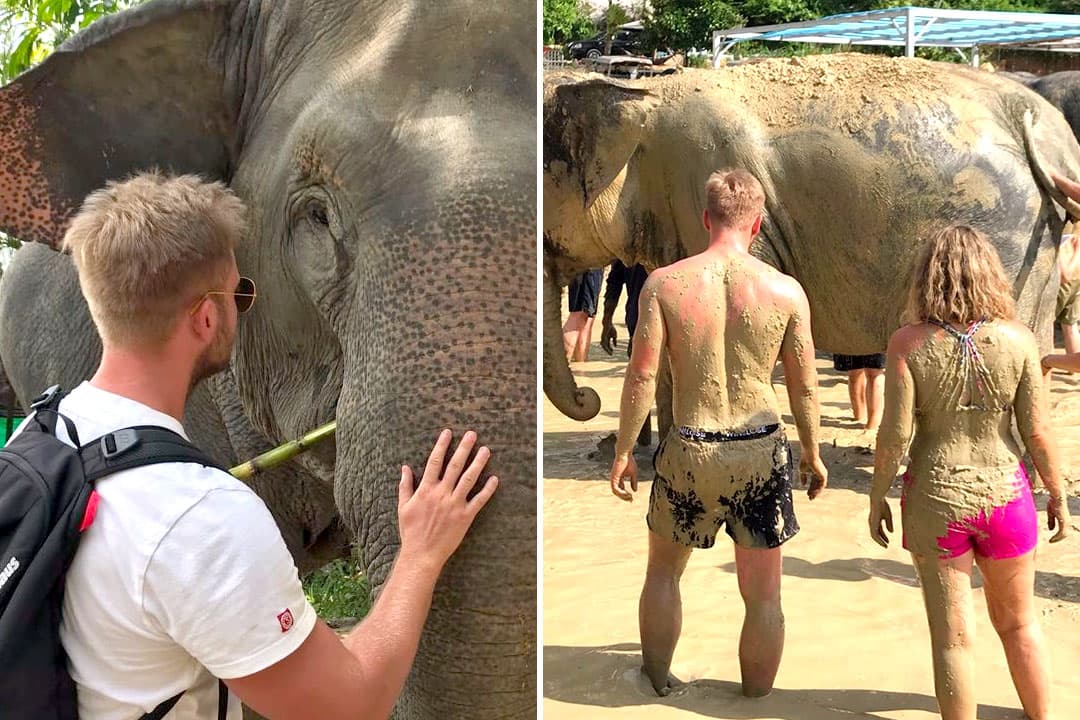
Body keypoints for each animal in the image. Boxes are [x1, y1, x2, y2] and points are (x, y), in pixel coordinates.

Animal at [543, 54, 1080, 423]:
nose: (589, 398)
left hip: (1000, 234)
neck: (643, 93)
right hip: (1037, 247)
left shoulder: (707, 190)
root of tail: (1035, 118)